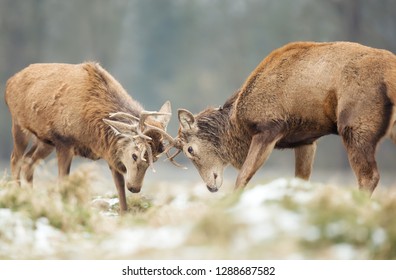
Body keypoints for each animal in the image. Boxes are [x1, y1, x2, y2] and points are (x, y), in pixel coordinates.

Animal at [5, 61, 173, 212]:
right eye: (134, 155)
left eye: (154, 159)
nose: (135, 188)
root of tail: (8, 83)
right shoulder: (64, 141)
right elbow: (63, 180)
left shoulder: (109, 149)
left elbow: (119, 187)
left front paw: (124, 213)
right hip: (19, 124)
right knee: (15, 159)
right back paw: (16, 194)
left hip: (45, 140)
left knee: (28, 162)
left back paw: (29, 196)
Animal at [176, 41, 396, 194]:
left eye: (189, 149)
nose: (210, 187)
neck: (237, 125)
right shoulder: (306, 140)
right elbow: (301, 180)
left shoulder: (269, 128)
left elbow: (242, 177)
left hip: (356, 124)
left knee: (369, 176)